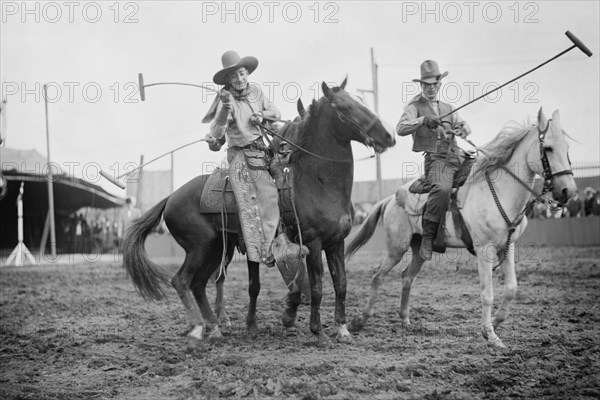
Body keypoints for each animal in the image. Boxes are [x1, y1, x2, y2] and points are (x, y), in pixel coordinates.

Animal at [122, 78, 396, 344]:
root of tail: (170, 197)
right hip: (199, 247)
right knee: (182, 281)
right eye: (346, 107)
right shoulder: (313, 242)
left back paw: (214, 327)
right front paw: (318, 332)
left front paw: (341, 328)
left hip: (215, 248)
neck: (317, 183)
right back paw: (200, 327)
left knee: (199, 284)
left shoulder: (336, 242)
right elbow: (317, 286)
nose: (388, 136)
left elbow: (341, 284)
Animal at [346, 108, 576, 346]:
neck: (500, 192)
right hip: (396, 248)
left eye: (567, 148)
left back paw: (405, 320)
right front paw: (490, 334)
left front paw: (496, 321)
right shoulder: (485, 249)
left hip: (419, 248)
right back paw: (360, 320)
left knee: (407, 277)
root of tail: (391, 198)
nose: (568, 191)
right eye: (548, 148)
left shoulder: (507, 247)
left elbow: (511, 288)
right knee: (377, 275)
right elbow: (487, 293)